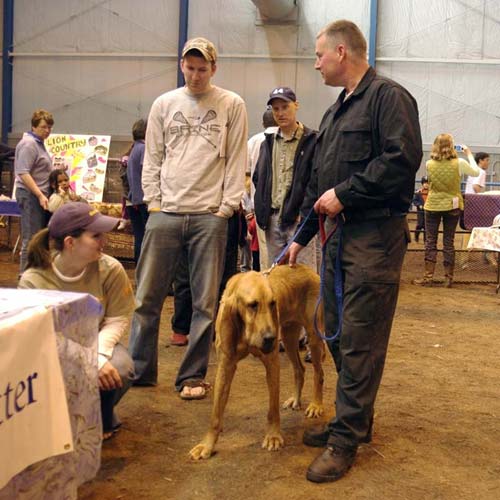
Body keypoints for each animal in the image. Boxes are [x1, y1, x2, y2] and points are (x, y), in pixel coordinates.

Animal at [189, 264, 326, 458]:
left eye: (272, 303)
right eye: (252, 305)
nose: (270, 338)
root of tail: (306, 268)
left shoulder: (272, 363)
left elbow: (273, 409)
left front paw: (273, 437)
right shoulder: (225, 366)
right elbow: (216, 414)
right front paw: (206, 445)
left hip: (313, 336)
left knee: (318, 372)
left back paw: (316, 405)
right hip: (288, 336)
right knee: (299, 370)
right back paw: (295, 400)